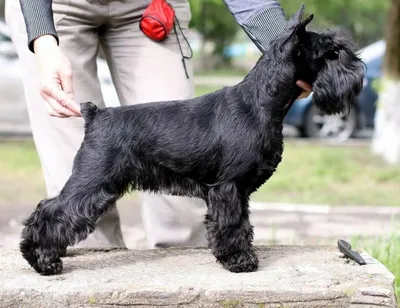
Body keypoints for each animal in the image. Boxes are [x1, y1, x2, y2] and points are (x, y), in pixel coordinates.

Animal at [19, 4, 366, 274]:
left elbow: (241, 224)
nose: (360, 73)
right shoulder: (228, 188)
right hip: (93, 182)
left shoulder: (238, 191)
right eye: (332, 52)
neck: (260, 101)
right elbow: (231, 224)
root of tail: (95, 114)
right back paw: (42, 260)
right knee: (53, 211)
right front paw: (240, 261)